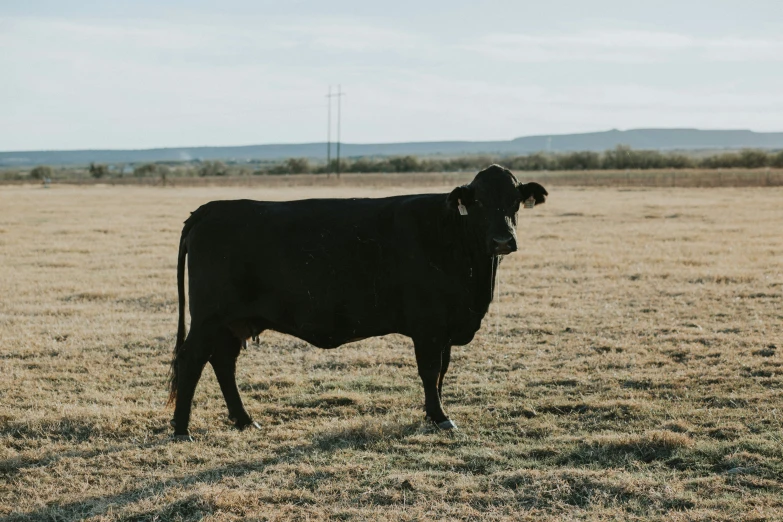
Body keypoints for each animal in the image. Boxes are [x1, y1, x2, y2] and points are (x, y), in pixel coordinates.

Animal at [167, 164, 544, 438]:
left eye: (515, 201)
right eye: (478, 202)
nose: (503, 240)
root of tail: (210, 209)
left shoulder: (446, 326)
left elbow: (441, 371)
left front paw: (433, 414)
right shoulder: (428, 325)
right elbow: (429, 371)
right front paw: (439, 417)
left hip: (232, 323)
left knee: (222, 363)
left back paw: (245, 420)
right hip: (209, 318)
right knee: (192, 360)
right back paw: (182, 428)